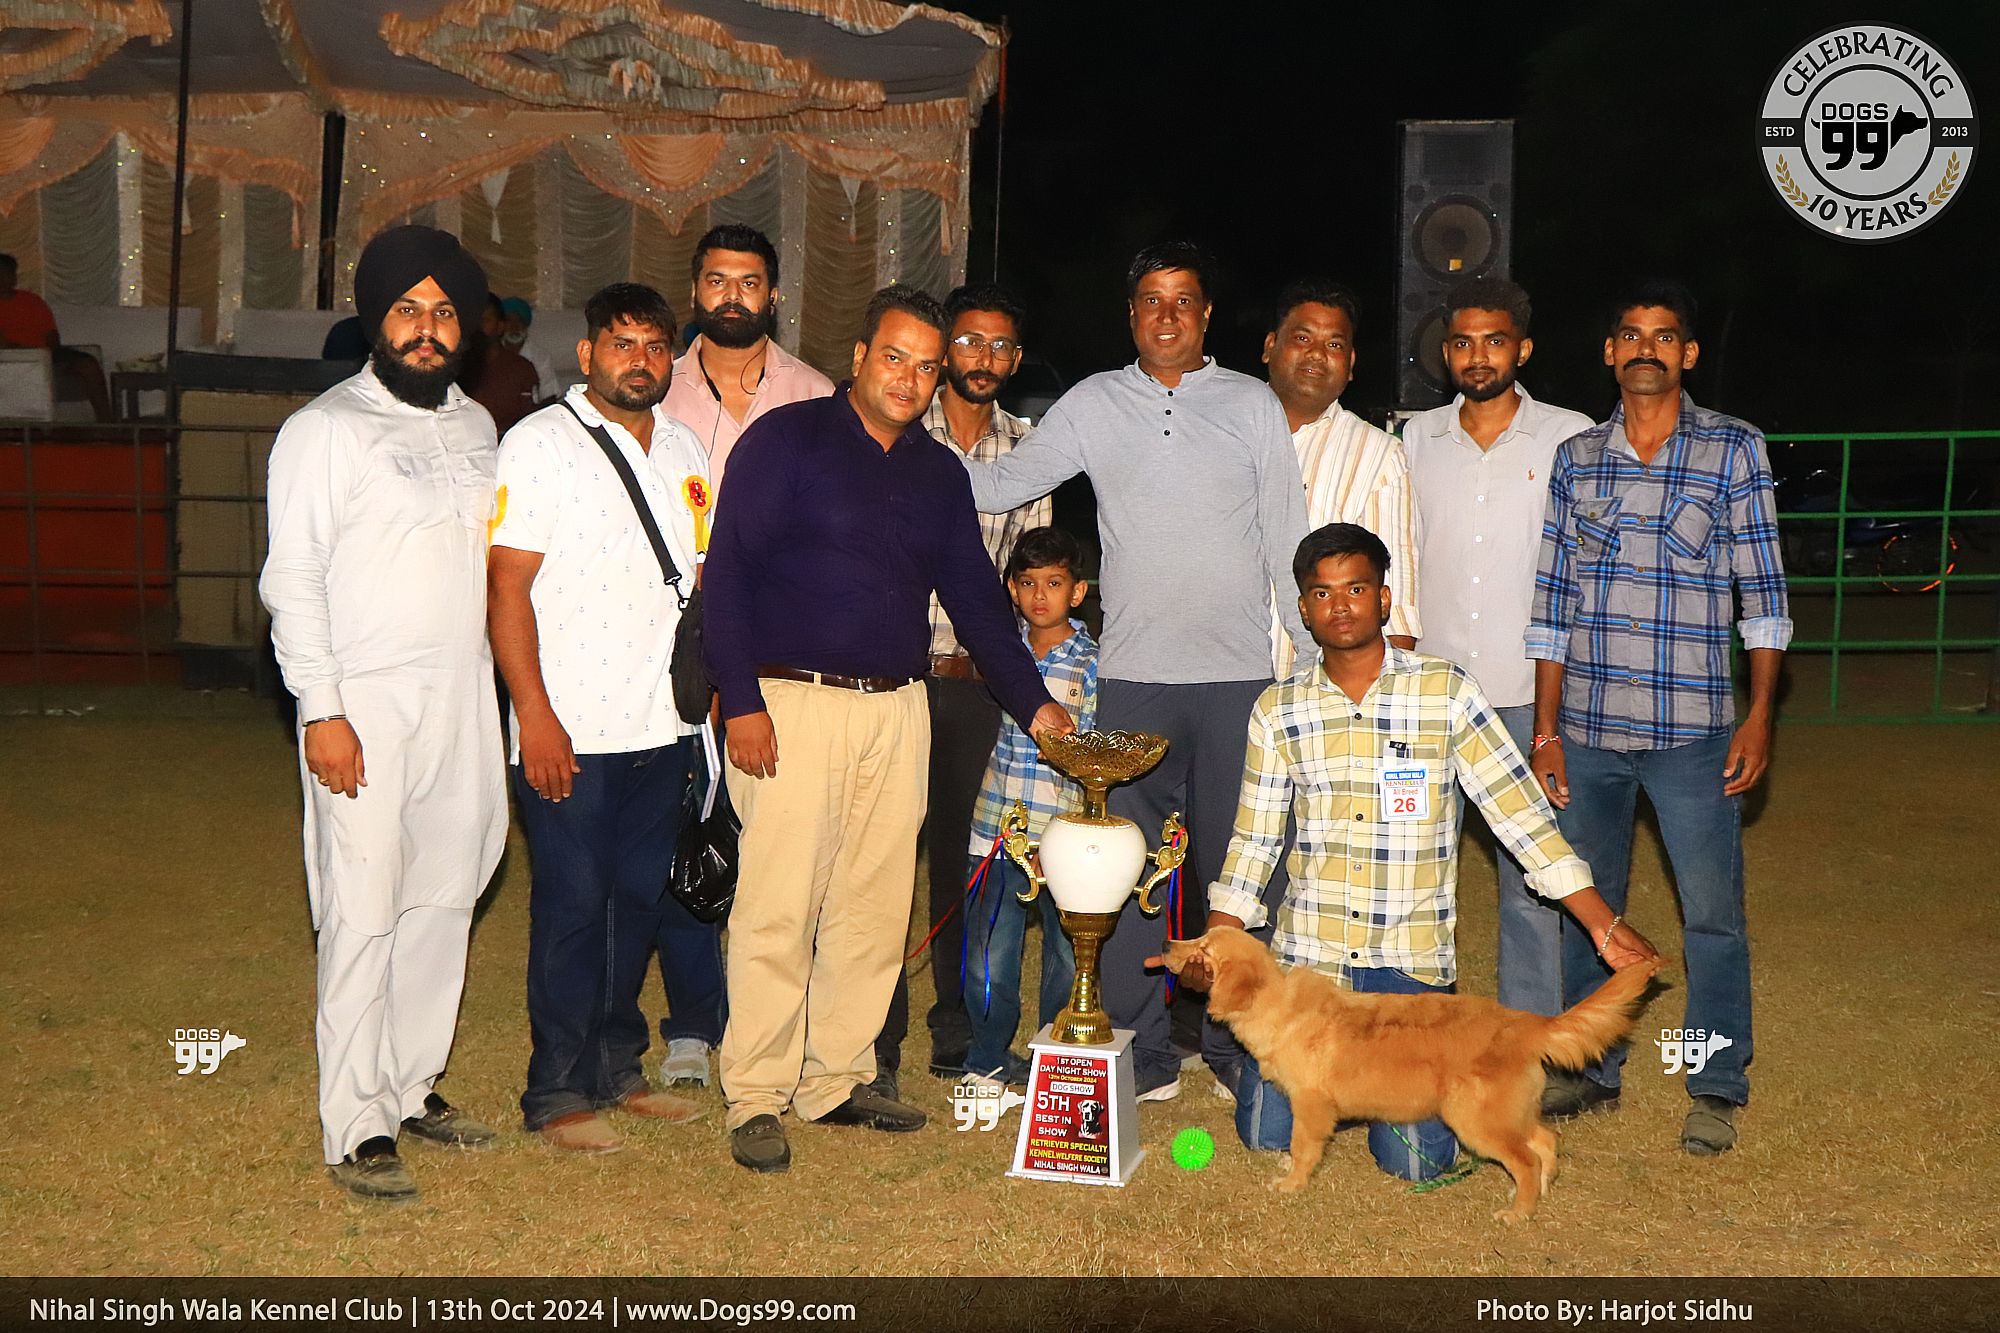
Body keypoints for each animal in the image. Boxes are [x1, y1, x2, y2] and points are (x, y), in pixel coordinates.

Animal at [1159, 926, 1657, 1222]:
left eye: (1203, 949)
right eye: (1200, 935)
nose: (1166, 945)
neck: (1278, 1006)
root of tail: (1525, 1024)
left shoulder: (1312, 1104)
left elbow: (1303, 1148)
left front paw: (1291, 1184)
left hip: (1473, 1120)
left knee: (1527, 1160)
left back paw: (1517, 1213)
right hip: (1505, 1112)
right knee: (1547, 1141)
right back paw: (1542, 1194)